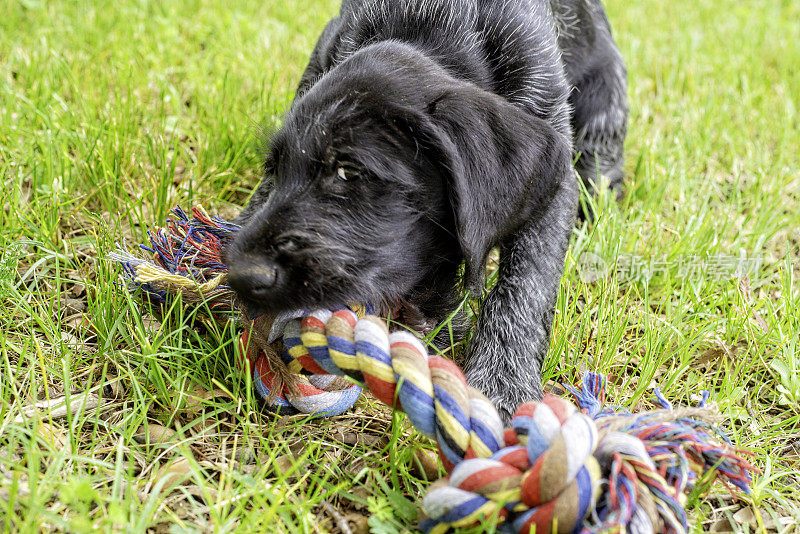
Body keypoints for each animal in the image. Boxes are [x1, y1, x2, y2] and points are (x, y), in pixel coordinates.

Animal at [225, 0, 624, 422]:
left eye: (349, 171)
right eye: (274, 169)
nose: (241, 276)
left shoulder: (554, 173)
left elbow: (527, 283)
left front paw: (502, 382)